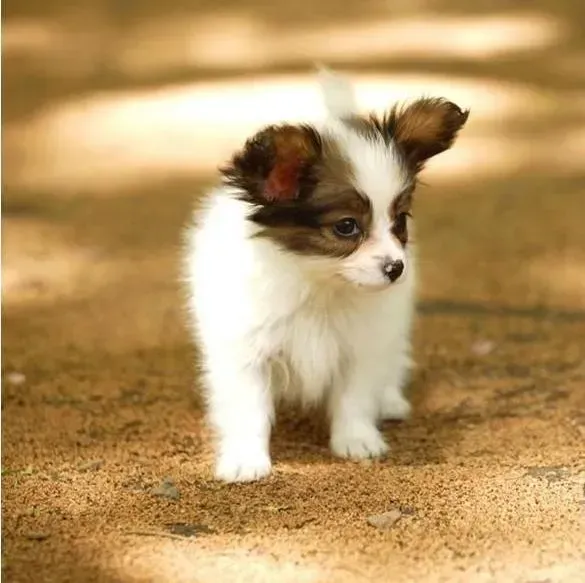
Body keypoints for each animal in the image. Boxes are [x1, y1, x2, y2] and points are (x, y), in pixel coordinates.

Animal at [185, 67, 468, 484]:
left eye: (400, 220)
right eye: (346, 227)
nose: (396, 268)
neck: (319, 284)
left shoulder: (362, 345)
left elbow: (355, 397)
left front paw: (357, 440)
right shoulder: (246, 350)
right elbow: (247, 408)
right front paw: (245, 458)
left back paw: (390, 400)